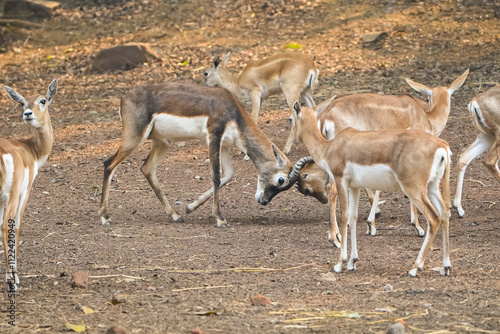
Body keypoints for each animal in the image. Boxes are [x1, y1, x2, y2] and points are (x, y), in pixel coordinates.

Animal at [0, 79, 57, 290]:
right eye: (22, 103)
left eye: (42, 100)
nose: (27, 113)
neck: (31, 149)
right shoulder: (24, 191)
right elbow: (16, 226)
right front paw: (13, 277)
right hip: (14, 194)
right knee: (6, 227)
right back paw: (13, 283)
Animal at [292, 103, 454, 276]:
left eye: (291, 119)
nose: (293, 140)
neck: (329, 147)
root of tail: (441, 146)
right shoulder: (354, 186)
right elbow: (353, 218)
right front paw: (352, 261)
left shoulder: (340, 181)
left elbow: (344, 217)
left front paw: (339, 263)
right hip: (432, 186)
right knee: (445, 213)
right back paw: (445, 267)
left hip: (414, 189)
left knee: (434, 218)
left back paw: (415, 267)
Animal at [294, 68, 466, 245]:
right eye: (427, 97)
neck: (425, 116)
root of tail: (325, 116)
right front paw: (417, 226)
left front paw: (372, 222)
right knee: (332, 188)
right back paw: (336, 235)